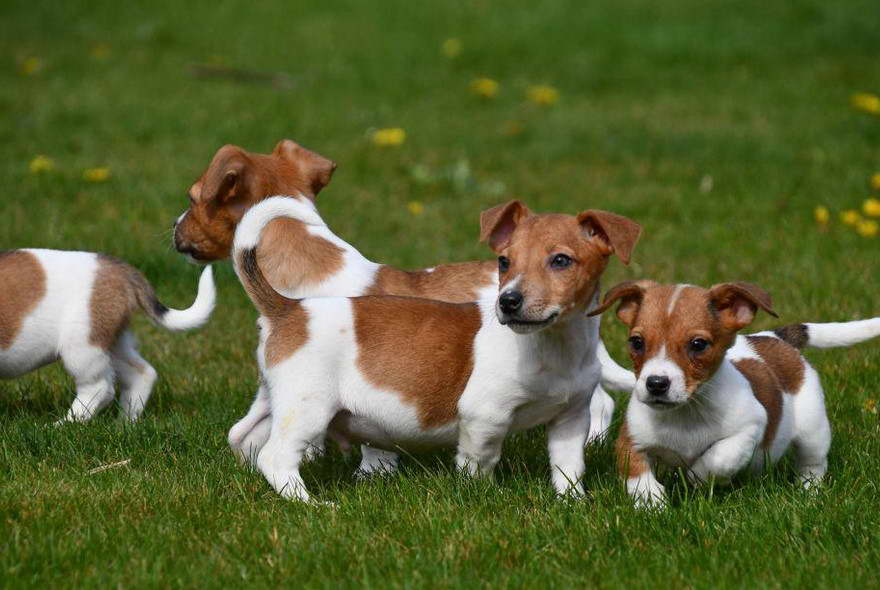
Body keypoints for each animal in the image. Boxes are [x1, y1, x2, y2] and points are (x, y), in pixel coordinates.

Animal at [1, 252, 215, 424]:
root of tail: (120, 269)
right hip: (112, 344)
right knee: (143, 373)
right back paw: (124, 424)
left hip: (82, 346)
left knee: (99, 389)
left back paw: (61, 426)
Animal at [588, 282, 880, 508]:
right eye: (636, 342)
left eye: (698, 344)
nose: (656, 384)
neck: (686, 412)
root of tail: (775, 337)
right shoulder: (630, 440)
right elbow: (637, 473)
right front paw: (651, 502)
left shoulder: (750, 427)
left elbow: (720, 457)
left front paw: (696, 476)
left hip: (813, 430)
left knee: (813, 464)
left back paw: (808, 493)